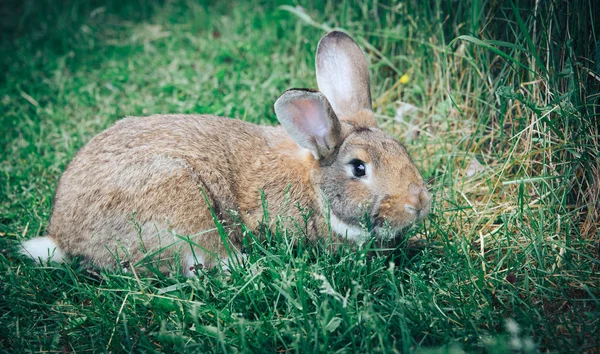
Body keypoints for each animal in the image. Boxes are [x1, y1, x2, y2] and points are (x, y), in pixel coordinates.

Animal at [19, 30, 432, 276]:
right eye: (359, 168)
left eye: (403, 150)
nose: (418, 202)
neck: (316, 190)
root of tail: (65, 239)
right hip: (182, 207)